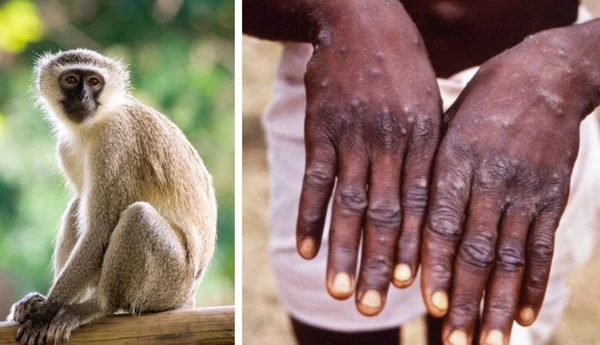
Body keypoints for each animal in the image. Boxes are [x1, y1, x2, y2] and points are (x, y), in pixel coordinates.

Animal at [5, 49, 218, 344]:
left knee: (137, 217)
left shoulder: (114, 143)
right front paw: (42, 303)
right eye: (71, 80)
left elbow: (102, 229)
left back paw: (98, 305)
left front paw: (46, 311)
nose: (82, 97)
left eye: (94, 82)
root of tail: (188, 298)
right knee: (79, 204)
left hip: (170, 281)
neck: (94, 125)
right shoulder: (65, 147)